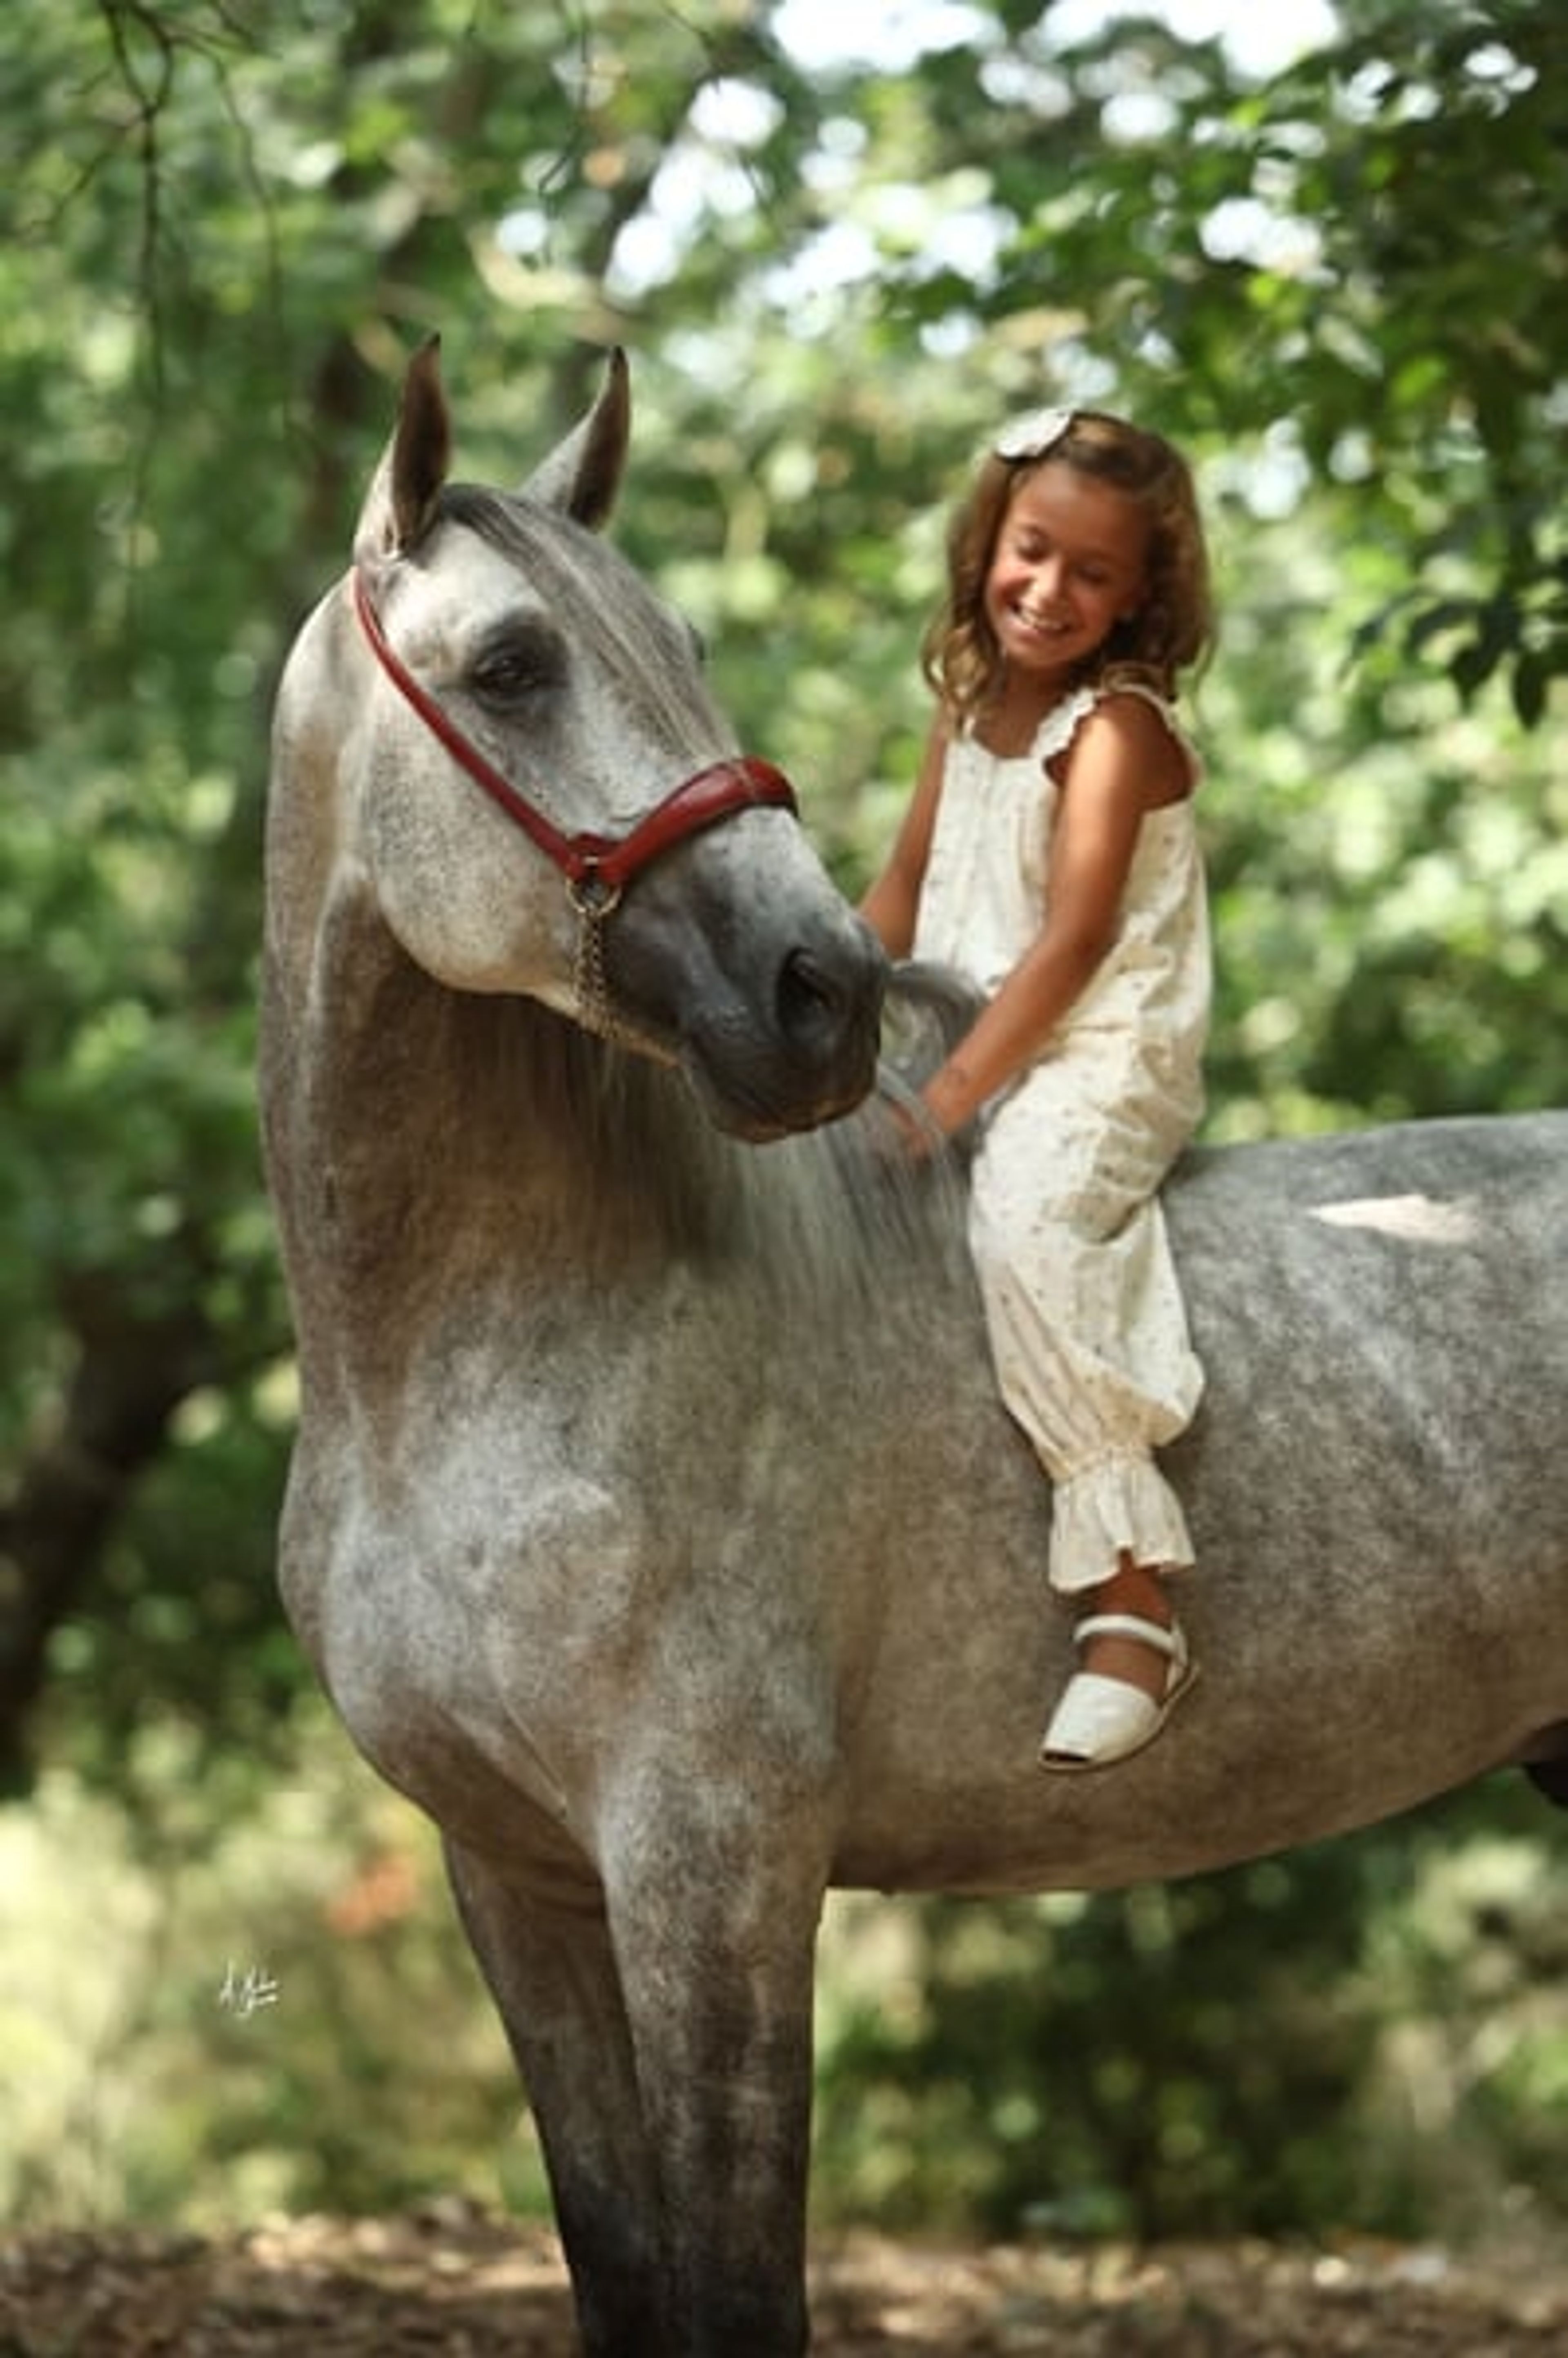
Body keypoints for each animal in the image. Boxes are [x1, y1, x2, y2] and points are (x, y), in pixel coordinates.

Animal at [260, 338, 1568, 2358]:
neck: (459, 1373)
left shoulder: (715, 1870)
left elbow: (738, 2288)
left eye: (681, 642)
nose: (817, 994)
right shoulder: (521, 1882)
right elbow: (627, 2271)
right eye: (513, 666)